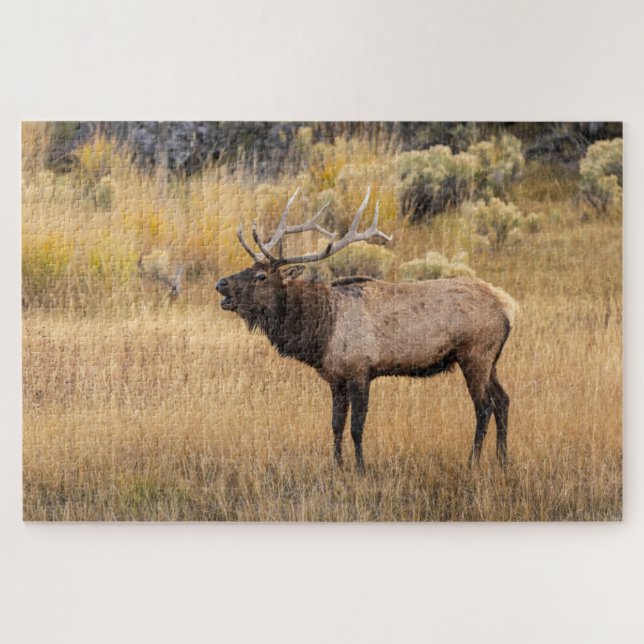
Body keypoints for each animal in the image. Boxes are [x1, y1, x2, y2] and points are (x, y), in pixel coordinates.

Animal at [216, 188, 517, 474]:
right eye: (247, 268)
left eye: (261, 276)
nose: (220, 284)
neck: (321, 333)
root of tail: (509, 307)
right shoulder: (335, 377)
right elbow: (336, 424)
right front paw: (337, 465)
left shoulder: (360, 370)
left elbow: (356, 426)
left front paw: (361, 468)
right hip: (491, 360)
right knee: (503, 400)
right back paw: (502, 459)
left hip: (475, 354)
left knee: (484, 407)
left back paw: (473, 462)